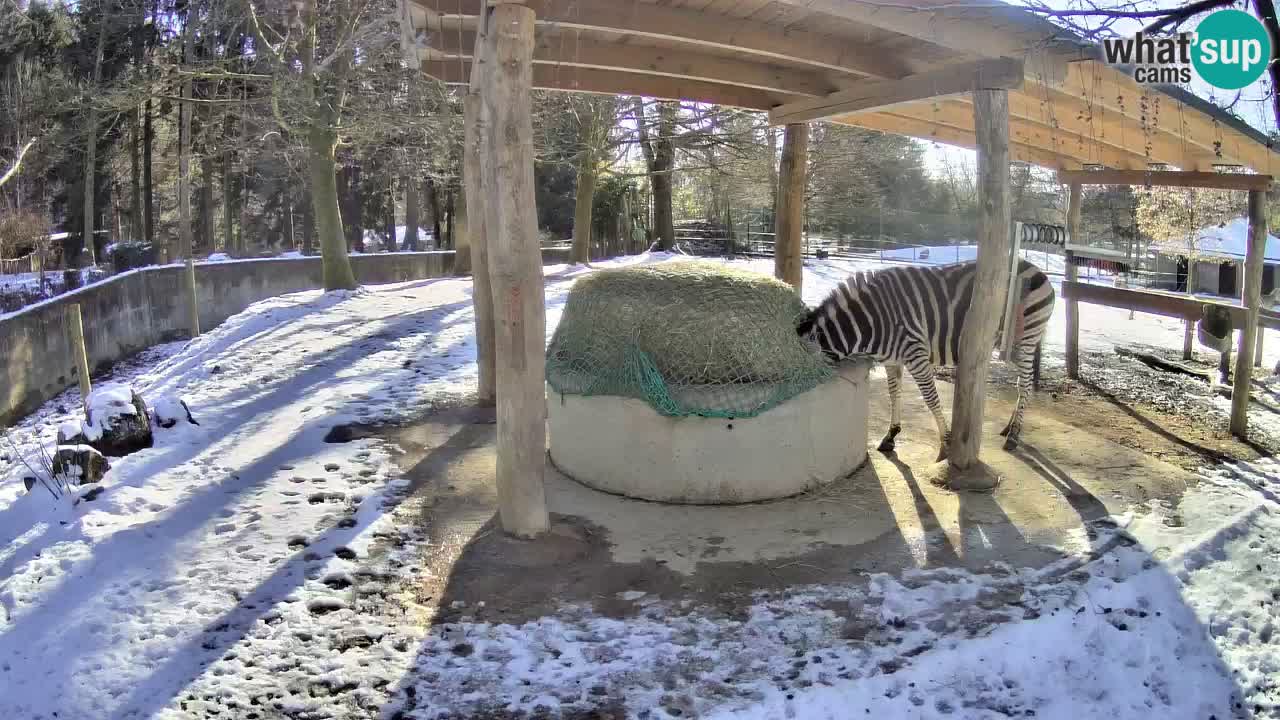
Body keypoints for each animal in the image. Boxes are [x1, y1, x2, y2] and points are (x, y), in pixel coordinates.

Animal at [793, 257, 1054, 458]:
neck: (871, 322)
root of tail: (1036, 268)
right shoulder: (892, 358)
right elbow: (894, 393)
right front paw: (891, 434)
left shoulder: (915, 353)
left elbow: (931, 398)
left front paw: (946, 443)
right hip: (1014, 344)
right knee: (1021, 384)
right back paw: (1009, 427)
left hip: (1028, 335)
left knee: (1026, 384)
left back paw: (1014, 435)